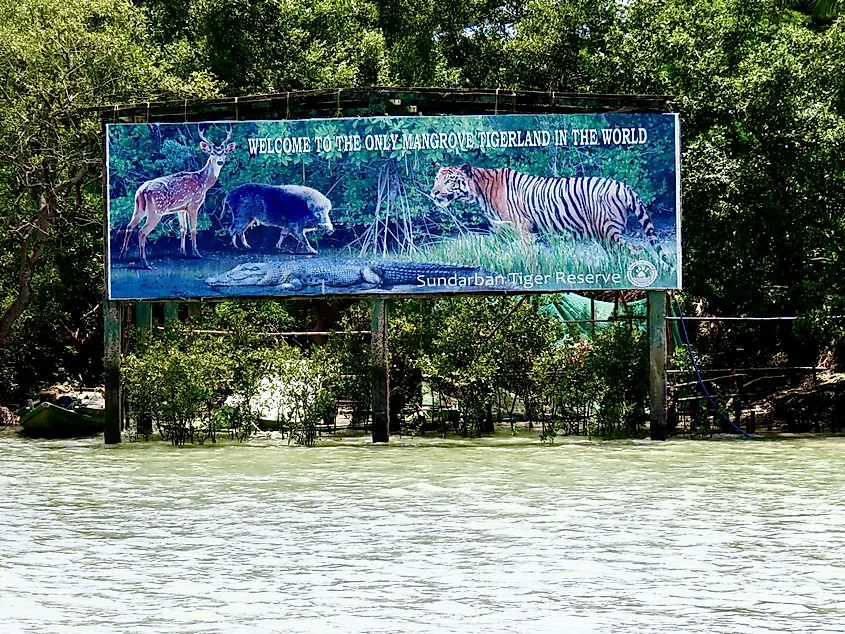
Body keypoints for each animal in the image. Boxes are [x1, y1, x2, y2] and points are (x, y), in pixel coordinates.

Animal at [120, 123, 236, 266]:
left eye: (224, 152)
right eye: (212, 153)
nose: (220, 162)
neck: (203, 183)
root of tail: (142, 191)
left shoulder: (181, 208)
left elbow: (183, 228)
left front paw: (183, 252)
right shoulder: (193, 205)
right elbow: (193, 228)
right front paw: (196, 253)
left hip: (138, 208)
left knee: (129, 226)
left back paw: (123, 255)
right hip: (156, 210)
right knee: (142, 231)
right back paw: (144, 262)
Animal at [432, 162, 668, 268]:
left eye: (449, 180)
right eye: (437, 178)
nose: (434, 192)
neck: (480, 192)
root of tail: (623, 185)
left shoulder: (523, 230)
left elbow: (528, 257)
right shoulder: (501, 231)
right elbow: (492, 252)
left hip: (608, 232)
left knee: (639, 250)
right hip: (606, 237)